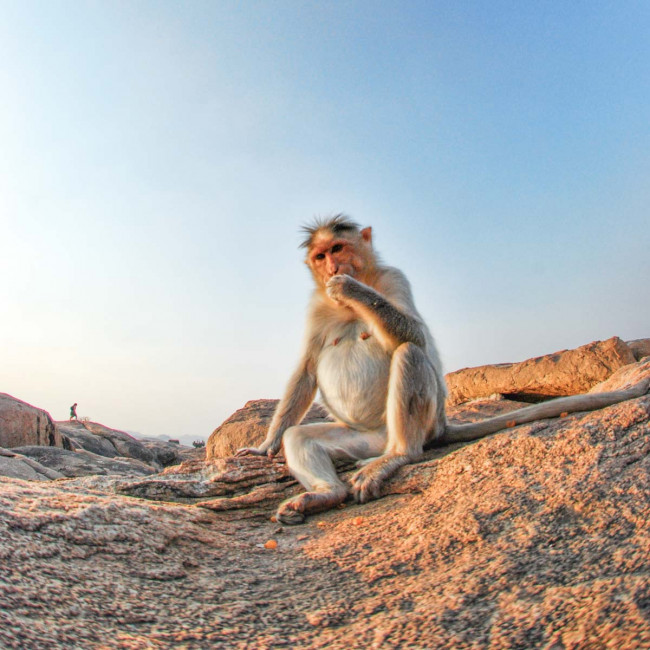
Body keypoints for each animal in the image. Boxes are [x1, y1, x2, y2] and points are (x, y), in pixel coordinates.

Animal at [235, 215, 644, 524]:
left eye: (338, 249)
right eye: (320, 256)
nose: (333, 266)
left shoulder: (393, 277)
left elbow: (414, 334)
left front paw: (350, 287)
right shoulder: (316, 306)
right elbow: (306, 370)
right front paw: (265, 446)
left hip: (421, 425)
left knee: (410, 355)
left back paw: (397, 458)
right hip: (359, 438)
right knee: (301, 438)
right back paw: (326, 493)